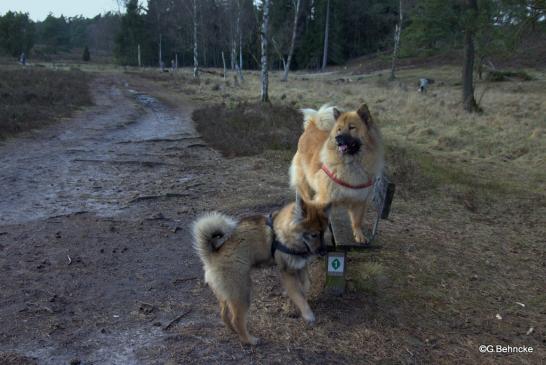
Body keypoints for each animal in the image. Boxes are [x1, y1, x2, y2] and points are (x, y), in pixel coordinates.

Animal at [192, 198, 328, 342]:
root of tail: (211, 255)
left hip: (226, 293)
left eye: (324, 232)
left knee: (224, 314)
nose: (324, 252)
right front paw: (308, 314)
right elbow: (298, 294)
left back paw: (234, 331)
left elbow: (305, 286)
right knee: (237, 319)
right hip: (242, 292)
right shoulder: (287, 272)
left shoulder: (300, 266)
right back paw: (249, 340)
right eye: (314, 235)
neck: (284, 232)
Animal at [288, 104, 382, 243]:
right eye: (339, 129)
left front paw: (359, 235)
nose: (338, 138)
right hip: (305, 184)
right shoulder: (324, 198)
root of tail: (312, 126)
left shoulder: (359, 200)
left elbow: (357, 221)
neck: (351, 164)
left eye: (352, 127)